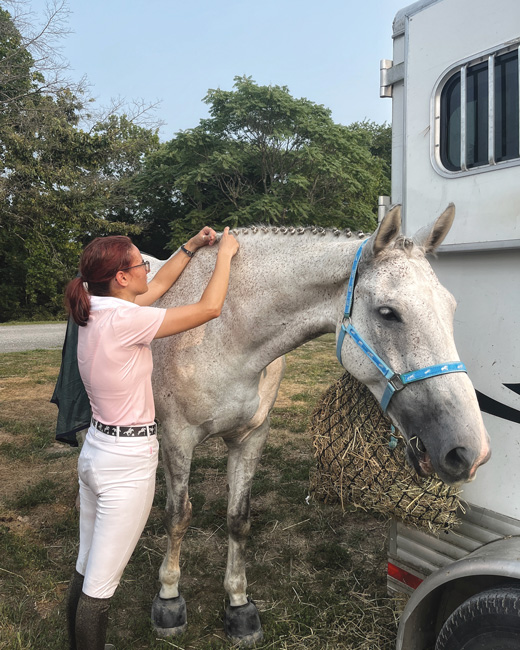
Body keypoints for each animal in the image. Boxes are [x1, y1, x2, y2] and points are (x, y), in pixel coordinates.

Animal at [147, 205, 492, 640]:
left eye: (451, 308)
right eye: (388, 313)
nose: (470, 450)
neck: (223, 332)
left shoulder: (251, 437)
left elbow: (238, 519)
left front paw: (239, 604)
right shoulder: (177, 438)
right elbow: (178, 517)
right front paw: (168, 598)